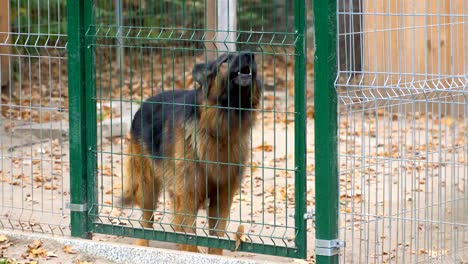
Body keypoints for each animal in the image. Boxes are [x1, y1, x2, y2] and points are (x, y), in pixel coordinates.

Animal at [120, 50, 260, 255]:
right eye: (225, 60)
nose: (250, 55)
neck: (219, 130)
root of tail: (145, 102)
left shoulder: (223, 195)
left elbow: (216, 236)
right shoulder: (188, 192)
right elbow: (188, 232)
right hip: (147, 185)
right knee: (146, 219)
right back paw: (142, 244)